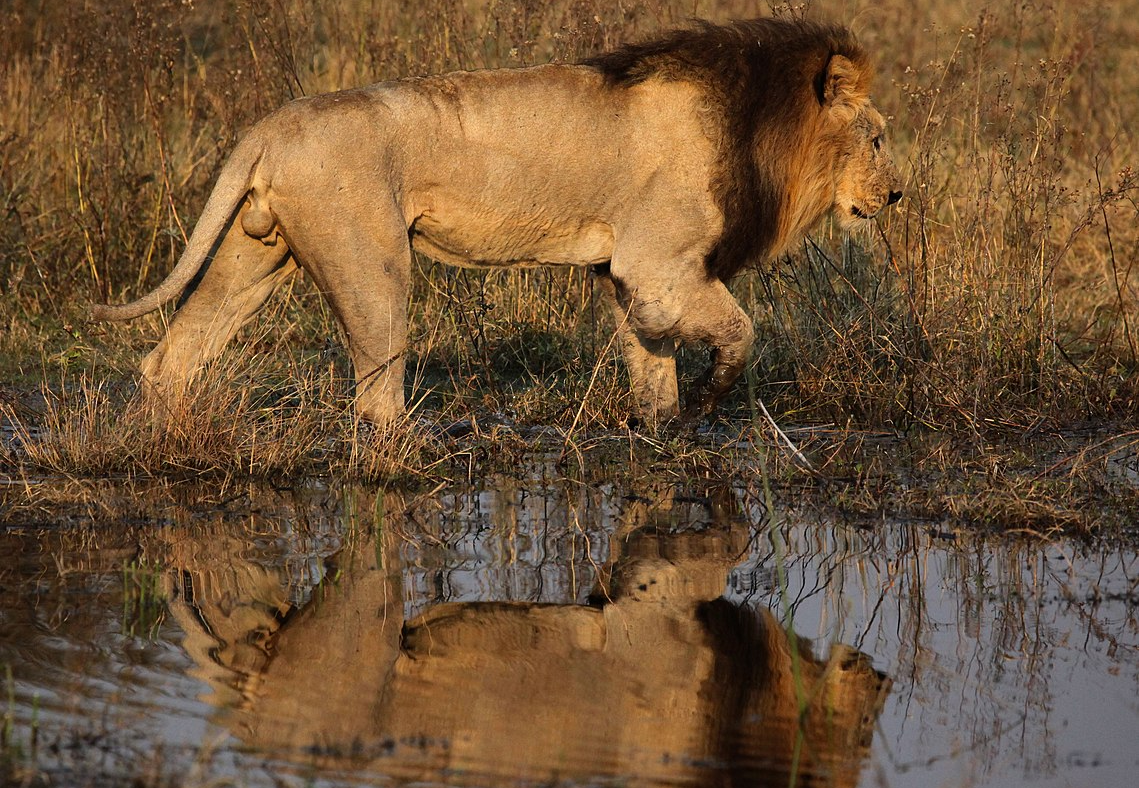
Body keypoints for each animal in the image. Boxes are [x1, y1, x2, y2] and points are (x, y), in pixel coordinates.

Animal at [90, 18, 902, 425]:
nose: (896, 197)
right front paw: (708, 399)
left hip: (253, 254)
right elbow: (741, 331)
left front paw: (664, 434)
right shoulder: (659, 266)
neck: (764, 126)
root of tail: (269, 126)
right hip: (373, 266)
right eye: (877, 139)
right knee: (375, 395)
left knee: (173, 359)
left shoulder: (628, 277)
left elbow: (651, 368)